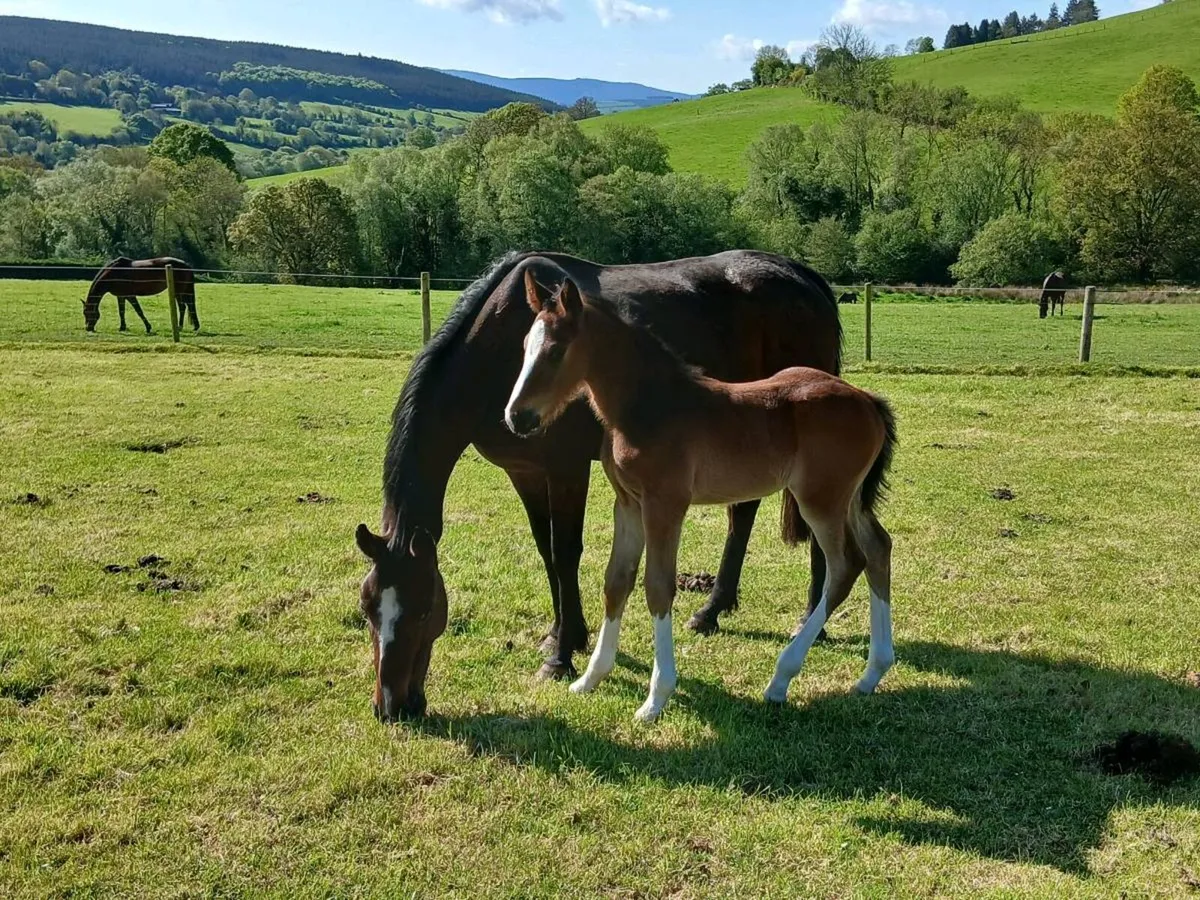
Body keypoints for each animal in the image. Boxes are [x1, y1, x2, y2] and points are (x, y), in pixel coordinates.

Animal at [353, 250, 842, 723]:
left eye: (423, 608)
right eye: (367, 608)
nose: (392, 707)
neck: (495, 352)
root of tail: (805, 277)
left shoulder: (567, 470)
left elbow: (566, 552)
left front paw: (562, 654)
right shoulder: (524, 472)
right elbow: (546, 552)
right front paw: (561, 635)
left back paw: (808, 618)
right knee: (743, 515)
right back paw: (712, 611)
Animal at [505, 271, 897, 722]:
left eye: (554, 351)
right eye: (523, 346)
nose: (516, 417)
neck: (649, 408)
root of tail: (868, 401)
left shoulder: (665, 504)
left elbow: (658, 587)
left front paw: (656, 698)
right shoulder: (628, 503)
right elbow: (616, 582)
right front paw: (589, 678)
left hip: (820, 500)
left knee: (845, 566)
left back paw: (780, 679)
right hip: (849, 498)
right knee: (878, 548)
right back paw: (872, 673)